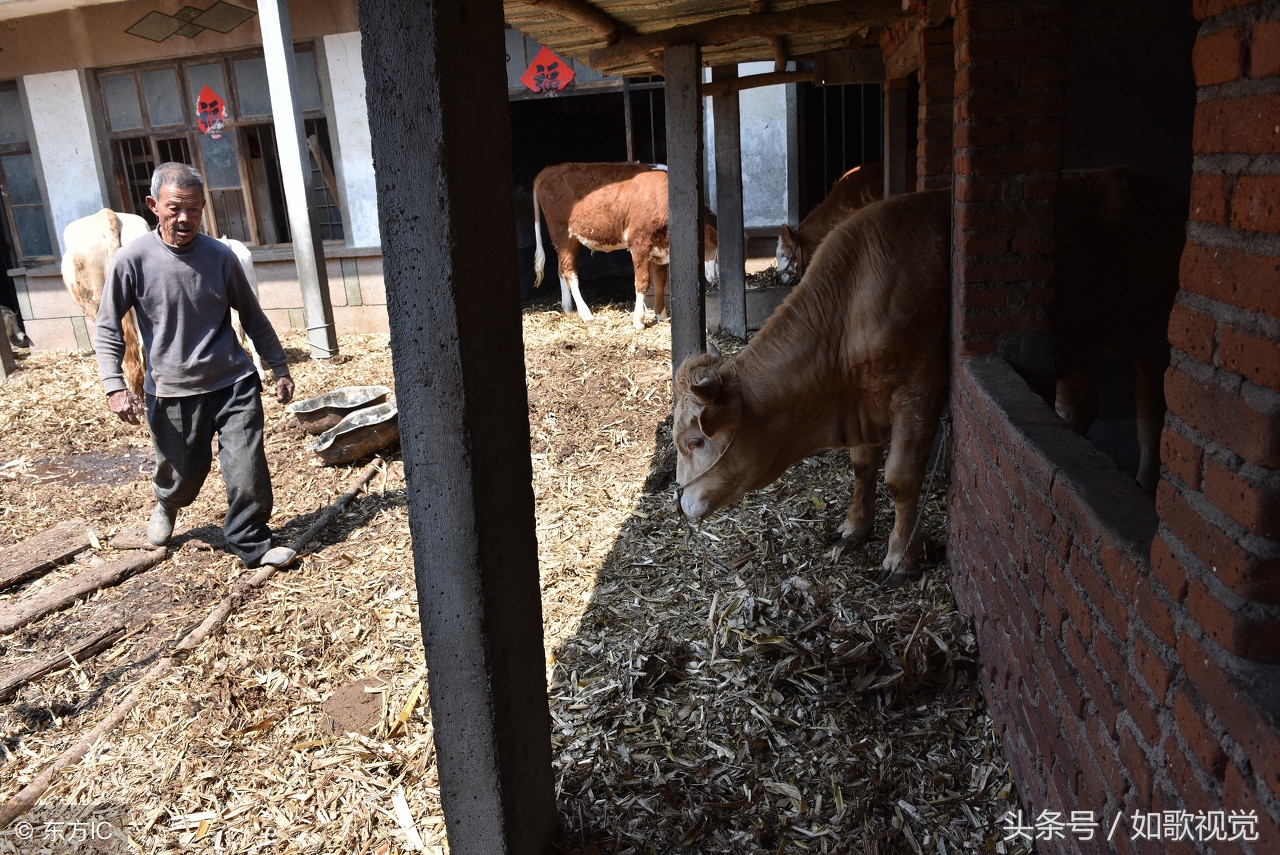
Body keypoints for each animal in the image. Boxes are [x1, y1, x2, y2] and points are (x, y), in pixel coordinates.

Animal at [529, 161, 721, 330]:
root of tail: (549, 169)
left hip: (569, 239)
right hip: (562, 233)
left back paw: (568, 307)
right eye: (716, 247)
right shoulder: (639, 243)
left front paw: (661, 315)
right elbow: (643, 282)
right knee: (570, 272)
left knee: (561, 269)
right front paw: (638, 321)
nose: (717, 280)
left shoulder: (659, 249)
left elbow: (660, 282)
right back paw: (585, 313)